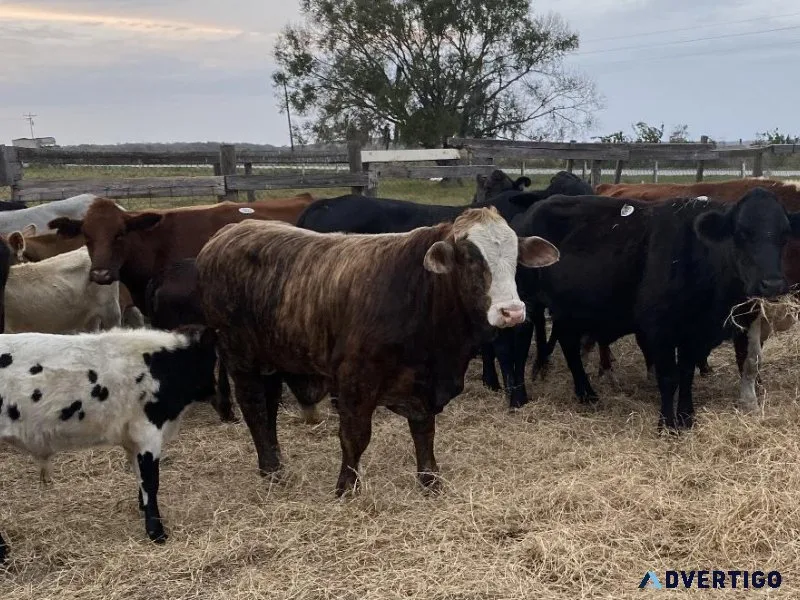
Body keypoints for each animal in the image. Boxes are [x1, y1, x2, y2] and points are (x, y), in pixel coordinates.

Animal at [0, 325, 217, 560]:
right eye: (213, 358)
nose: (214, 392)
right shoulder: (148, 431)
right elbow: (151, 481)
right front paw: (156, 532)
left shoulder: (132, 437)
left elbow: (140, 478)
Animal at [197, 208, 559, 495]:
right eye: (470, 258)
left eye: (515, 258)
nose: (512, 311)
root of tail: (227, 233)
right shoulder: (355, 382)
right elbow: (355, 436)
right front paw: (346, 488)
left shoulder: (423, 385)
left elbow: (424, 432)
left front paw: (430, 481)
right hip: (241, 359)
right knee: (255, 409)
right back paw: (272, 471)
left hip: (272, 359)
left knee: (269, 408)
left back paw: (273, 465)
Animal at [511, 188, 800, 429]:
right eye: (741, 234)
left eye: (785, 236)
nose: (773, 284)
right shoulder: (659, 329)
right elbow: (669, 376)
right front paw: (667, 424)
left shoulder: (694, 333)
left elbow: (686, 373)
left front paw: (686, 417)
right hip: (531, 300)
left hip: (570, 308)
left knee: (569, 345)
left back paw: (586, 394)